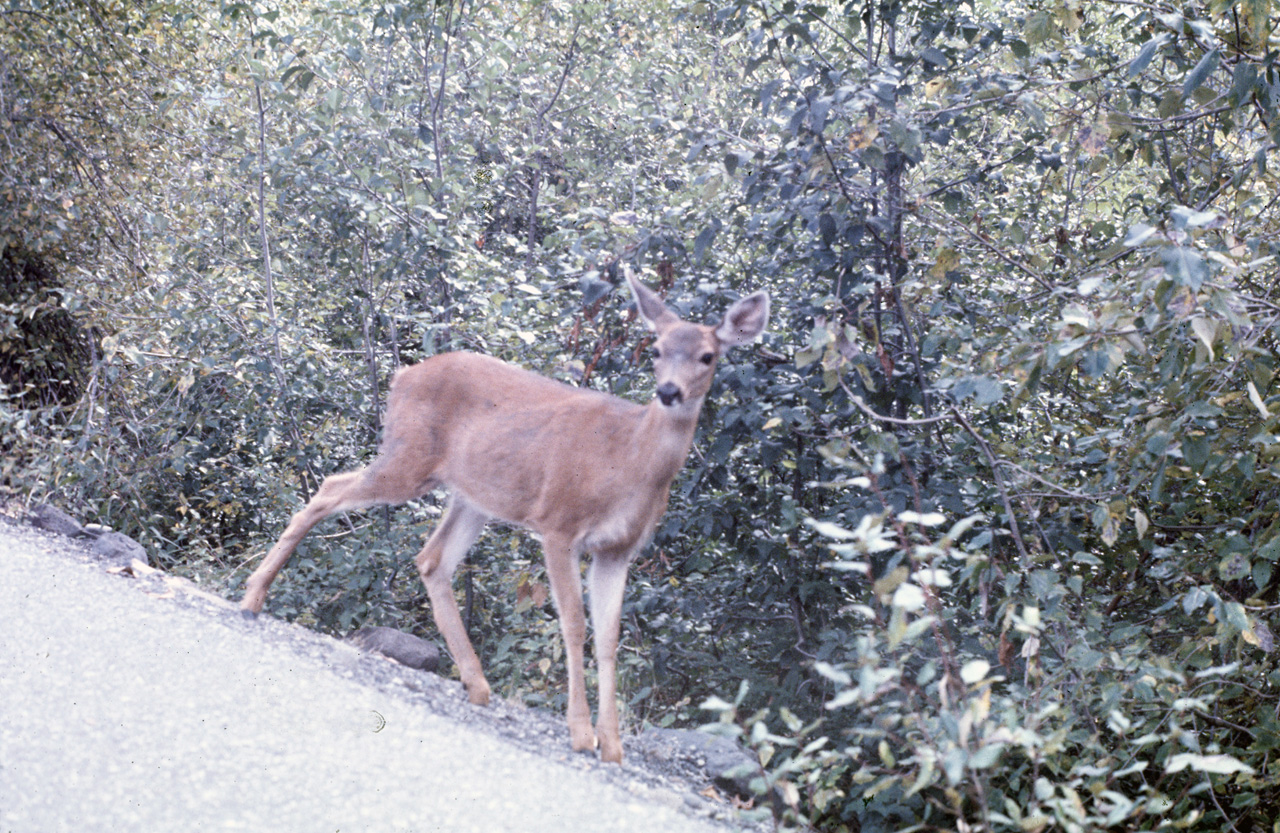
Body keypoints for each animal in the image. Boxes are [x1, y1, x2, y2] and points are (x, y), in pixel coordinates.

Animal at [238, 268, 768, 762]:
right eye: (655, 350)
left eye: (708, 356)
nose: (669, 392)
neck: (629, 463)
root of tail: (401, 376)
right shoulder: (558, 523)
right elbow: (574, 624)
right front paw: (581, 734)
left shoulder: (619, 550)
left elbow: (610, 637)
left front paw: (614, 747)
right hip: (408, 459)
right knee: (330, 489)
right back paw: (252, 599)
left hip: (472, 495)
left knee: (431, 559)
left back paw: (476, 684)